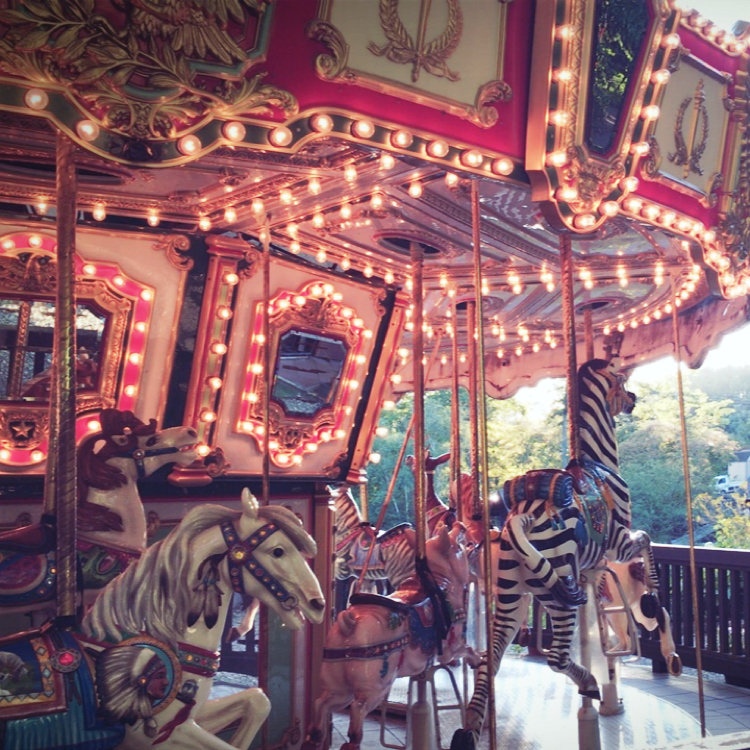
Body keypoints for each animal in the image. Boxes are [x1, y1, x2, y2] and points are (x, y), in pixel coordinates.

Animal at [302, 520, 480, 750]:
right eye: (456, 546)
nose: (459, 524)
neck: (442, 583)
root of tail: (349, 625)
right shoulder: (450, 649)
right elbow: (467, 649)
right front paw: (479, 661)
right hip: (375, 687)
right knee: (357, 711)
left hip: (339, 686)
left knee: (320, 704)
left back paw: (314, 737)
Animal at [450, 358, 660, 750]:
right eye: (620, 379)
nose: (633, 399)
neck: (600, 464)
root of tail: (525, 518)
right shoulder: (618, 541)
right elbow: (646, 539)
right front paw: (653, 596)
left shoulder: (592, 561)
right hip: (558, 593)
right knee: (556, 657)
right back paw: (590, 685)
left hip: (511, 595)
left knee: (490, 658)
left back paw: (469, 729)